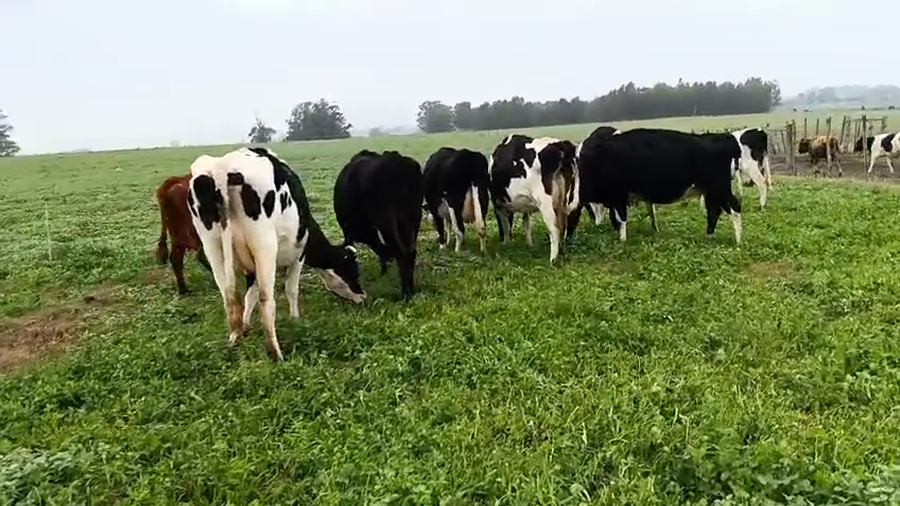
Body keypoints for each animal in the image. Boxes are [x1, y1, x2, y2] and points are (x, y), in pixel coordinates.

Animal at [188, 147, 366, 362]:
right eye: (353, 271)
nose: (363, 296)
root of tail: (224, 167)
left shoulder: (251, 270)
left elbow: (249, 296)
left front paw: (245, 326)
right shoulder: (298, 256)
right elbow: (290, 289)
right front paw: (295, 319)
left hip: (212, 247)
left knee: (229, 297)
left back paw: (234, 340)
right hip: (264, 245)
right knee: (266, 300)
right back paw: (276, 353)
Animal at [334, 149, 424, 300]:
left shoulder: (348, 231)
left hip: (388, 220)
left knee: (404, 252)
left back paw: (405, 294)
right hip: (413, 218)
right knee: (411, 251)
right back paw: (412, 289)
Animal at [489, 134, 579, 263]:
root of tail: (561, 145)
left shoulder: (497, 203)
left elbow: (505, 224)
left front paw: (506, 242)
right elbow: (526, 223)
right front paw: (529, 244)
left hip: (544, 201)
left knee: (554, 228)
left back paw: (553, 260)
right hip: (563, 199)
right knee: (563, 225)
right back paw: (562, 253)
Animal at [576, 127, 743, 245]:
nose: (596, 224)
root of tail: (723, 138)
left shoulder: (619, 194)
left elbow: (621, 218)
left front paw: (622, 240)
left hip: (720, 188)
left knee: (734, 207)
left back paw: (738, 241)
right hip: (712, 191)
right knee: (715, 211)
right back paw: (709, 236)